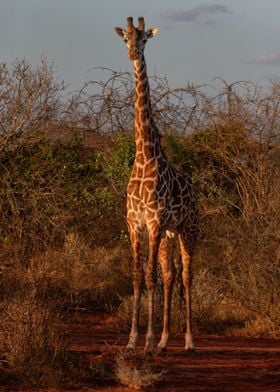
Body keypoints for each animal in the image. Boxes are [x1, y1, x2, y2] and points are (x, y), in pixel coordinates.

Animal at [114, 16, 199, 354]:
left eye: (145, 40)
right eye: (125, 39)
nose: (132, 54)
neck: (144, 156)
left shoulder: (153, 222)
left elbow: (149, 277)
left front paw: (146, 340)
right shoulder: (135, 223)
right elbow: (139, 276)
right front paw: (133, 340)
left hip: (188, 228)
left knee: (186, 275)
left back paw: (188, 341)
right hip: (169, 234)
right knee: (170, 274)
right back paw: (164, 341)